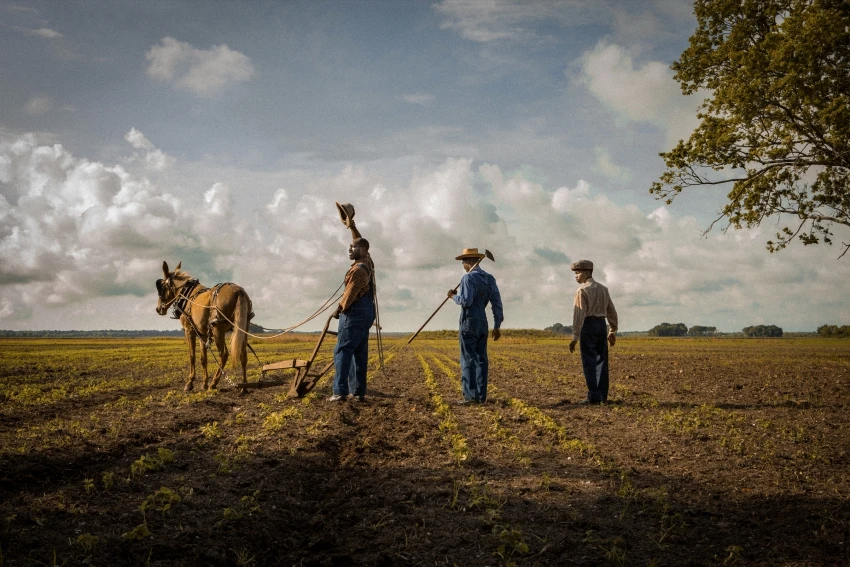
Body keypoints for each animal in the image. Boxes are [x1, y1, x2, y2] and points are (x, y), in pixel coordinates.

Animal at [154, 260, 252, 390]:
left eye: (162, 288)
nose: (158, 309)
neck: (187, 295)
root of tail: (238, 291)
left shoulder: (189, 330)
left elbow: (192, 357)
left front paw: (190, 383)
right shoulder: (202, 333)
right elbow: (203, 358)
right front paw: (204, 383)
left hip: (217, 330)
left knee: (224, 354)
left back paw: (214, 383)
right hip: (244, 327)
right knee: (243, 355)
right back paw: (244, 386)